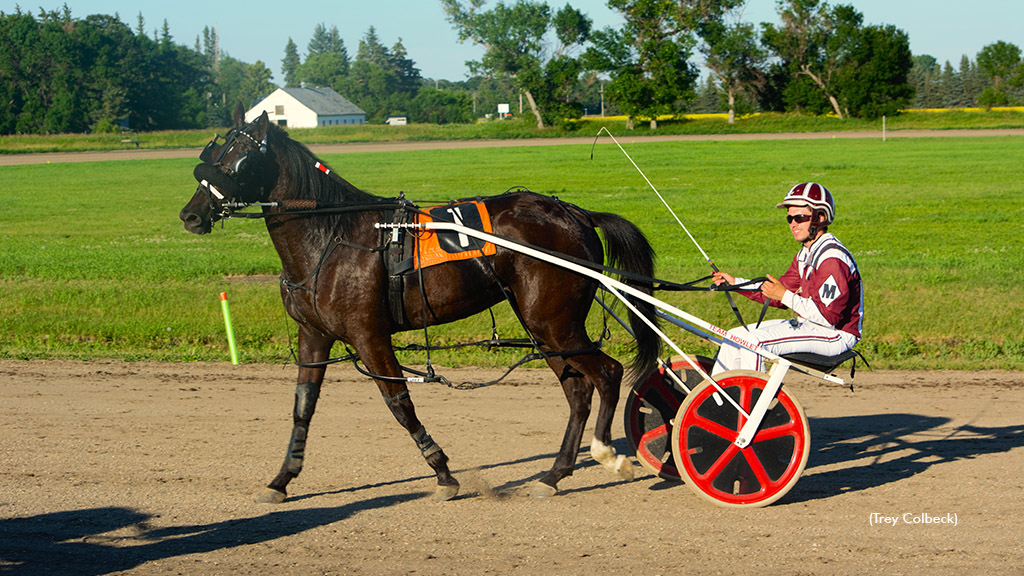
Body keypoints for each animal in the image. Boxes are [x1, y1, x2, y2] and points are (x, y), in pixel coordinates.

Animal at [180, 105, 659, 500]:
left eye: (240, 159)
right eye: (215, 151)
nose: (191, 214)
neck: (331, 237)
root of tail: (575, 213)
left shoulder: (368, 334)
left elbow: (399, 403)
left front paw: (443, 472)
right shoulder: (313, 335)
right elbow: (303, 407)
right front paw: (282, 479)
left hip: (554, 322)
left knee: (607, 374)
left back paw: (608, 454)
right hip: (544, 327)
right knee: (578, 390)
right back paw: (554, 474)